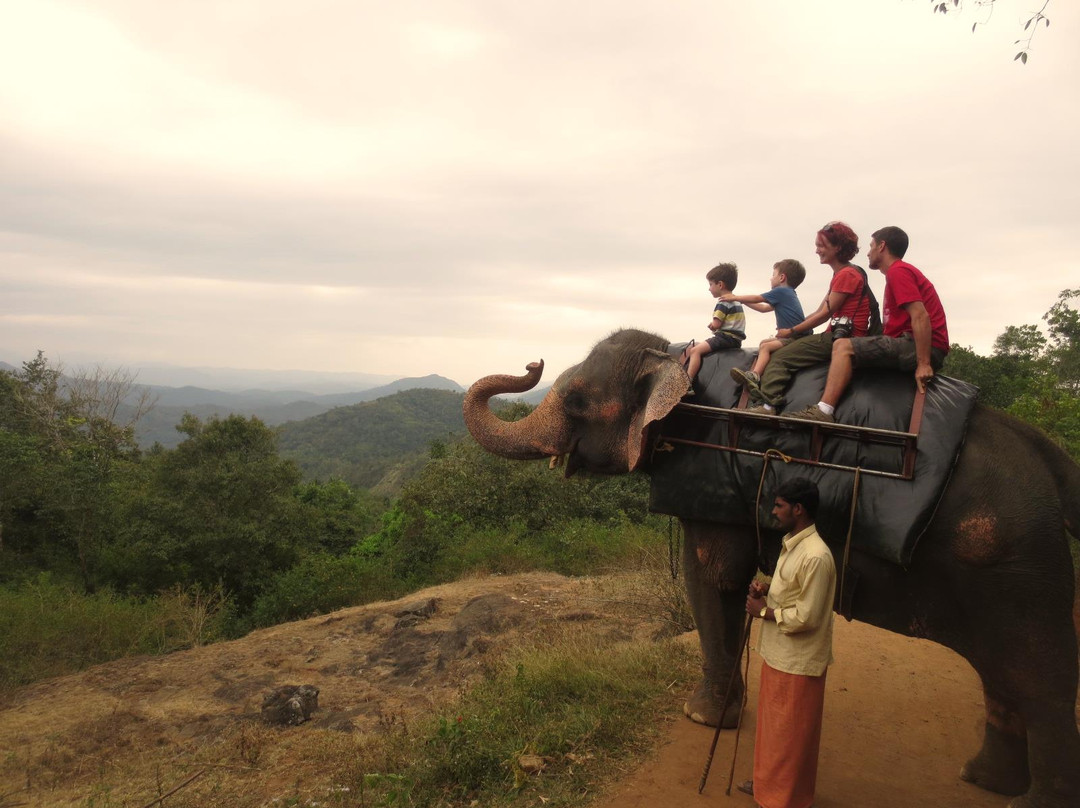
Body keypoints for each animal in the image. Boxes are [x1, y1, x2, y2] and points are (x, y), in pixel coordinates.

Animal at [464, 328, 1080, 808]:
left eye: (575, 399)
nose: (532, 364)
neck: (673, 356)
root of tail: (1047, 452)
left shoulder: (708, 478)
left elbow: (711, 577)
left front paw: (702, 719)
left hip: (1017, 561)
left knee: (1039, 674)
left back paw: (1029, 799)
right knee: (1001, 674)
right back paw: (982, 780)